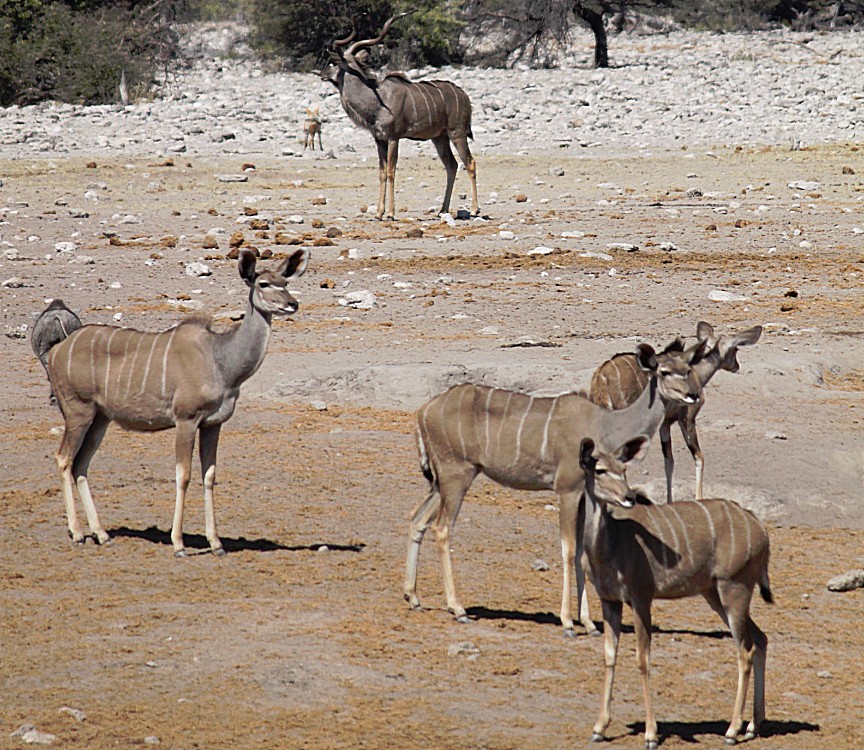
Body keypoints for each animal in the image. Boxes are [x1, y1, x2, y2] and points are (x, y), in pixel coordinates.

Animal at [34, 250, 310, 556]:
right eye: (263, 283)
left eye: (285, 282)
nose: (292, 304)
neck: (221, 361)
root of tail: (57, 351)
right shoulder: (185, 419)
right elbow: (184, 475)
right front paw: (178, 544)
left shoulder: (213, 424)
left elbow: (209, 475)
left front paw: (216, 544)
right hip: (77, 410)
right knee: (63, 459)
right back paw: (78, 533)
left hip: (100, 418)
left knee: (81, 464)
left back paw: (102, 534)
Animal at [318, 13, 480, 220]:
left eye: (332, 63)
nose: (320, 73)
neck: (377, 100)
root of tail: (464, 96)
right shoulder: (379, 139)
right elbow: (381, 172)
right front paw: (379, 213)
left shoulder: (394, 137)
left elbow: (391, 171)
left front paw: (389, 213)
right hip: (439, 137)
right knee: (451, 165)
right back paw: (442, 210)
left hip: (456, 133)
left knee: (470, 162)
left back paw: (474, 210)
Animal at [402, 344, 704, 636]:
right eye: (664, 371)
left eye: (688, 369)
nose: (692, 395)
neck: (606, 425)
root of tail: (423, 411)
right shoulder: (567, 489)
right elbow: (568, 549)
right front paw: (568, 623)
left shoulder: (585, 494)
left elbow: (582, 551)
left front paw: (590, 624)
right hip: (456, 476)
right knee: (442, 528)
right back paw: (458, 608)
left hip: (442, 481)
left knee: (417, 518)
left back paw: (413, 597)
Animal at [576, 438, 772, 748]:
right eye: (600, 470)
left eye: (624, 469)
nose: (629, 497)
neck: (610, 548)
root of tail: (761, 531)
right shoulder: (610, 601)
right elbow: (609, 655)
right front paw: (598, 728)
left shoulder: (641, 598)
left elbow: (642, 659)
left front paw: (651, 734)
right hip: (715, 593)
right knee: (761, 639)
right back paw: (753, 726)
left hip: (734, 588)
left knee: (745, 650)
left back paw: (732, 730)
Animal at [592, 320, 760, 502]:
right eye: (736, 349)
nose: (736, 366)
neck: (697, 372)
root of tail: (601, 376)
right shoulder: (687, 418)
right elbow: (698, 457)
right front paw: (698, 498)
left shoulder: (665, 424)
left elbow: (669, 461)